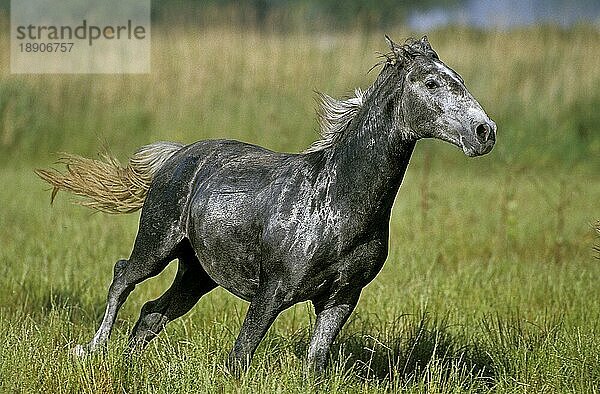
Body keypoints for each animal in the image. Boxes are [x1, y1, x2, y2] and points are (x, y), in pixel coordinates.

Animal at [37, 35, 496, 374]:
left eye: (457, 77)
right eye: (432, 83)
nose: (485, 132)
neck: (339, 204)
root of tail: (177, 155)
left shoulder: (341, 298)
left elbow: (315, 362)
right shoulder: (272, 290)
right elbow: (240, 356)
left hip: (197, 273)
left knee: (152, 313)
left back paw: (127, 363)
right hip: (157, 245)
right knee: (122, 277)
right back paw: (93, 349)